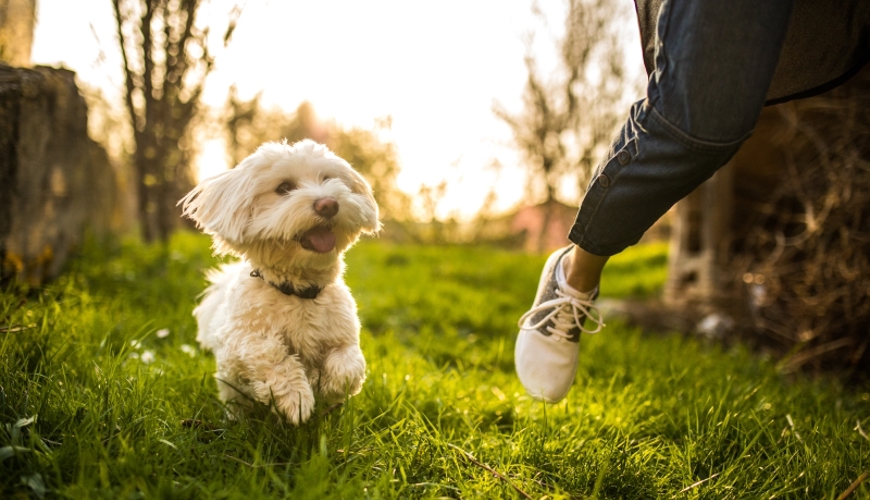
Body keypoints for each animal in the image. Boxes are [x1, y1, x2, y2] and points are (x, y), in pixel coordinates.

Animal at [180, 139, 378, 424]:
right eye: (283, 188)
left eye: (328, 179)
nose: (328, 204)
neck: (298, 291)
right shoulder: (237, 343)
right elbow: (270, 354)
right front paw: (296, 398)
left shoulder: (344, 336)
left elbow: (348, 364)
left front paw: (324, 383)